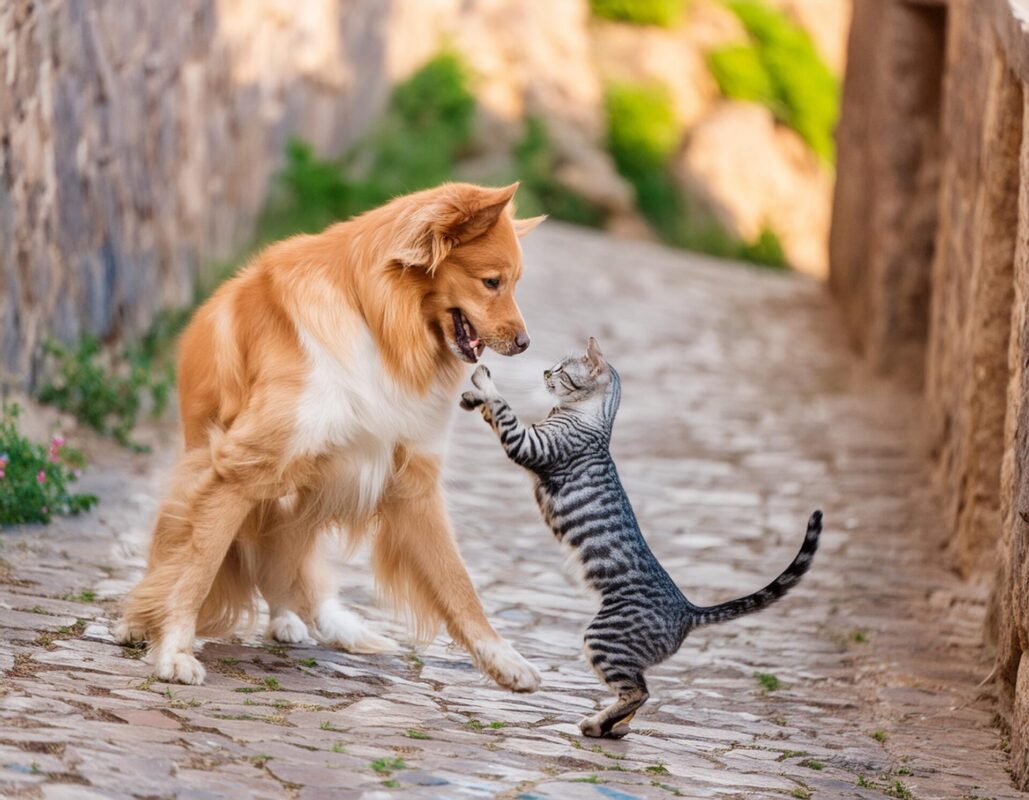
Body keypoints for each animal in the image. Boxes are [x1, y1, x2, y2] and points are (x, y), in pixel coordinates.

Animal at [114, 179, 547, 687]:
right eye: (492, 282)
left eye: (514, 282)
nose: (525, 344)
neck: (377, 322)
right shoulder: (240, 468)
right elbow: (196, 567)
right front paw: (172, 651)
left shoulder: (410, 481)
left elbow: (457, 581)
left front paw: (505, 660)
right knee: (179, 556)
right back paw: (138, 621)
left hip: (304, 499)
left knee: (292, 574)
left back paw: (307, 621)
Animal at [458, 337, 819, 737]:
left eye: (562, 370)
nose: (545, 372)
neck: (589, 418)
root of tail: (687, 610)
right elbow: (493, 411)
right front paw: (472, 397)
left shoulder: (532, 445)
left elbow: (504, 409)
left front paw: (484, 379)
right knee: (636, 693)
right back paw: (613, 727)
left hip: (602, 638)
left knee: (639, 692)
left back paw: (596, 724)